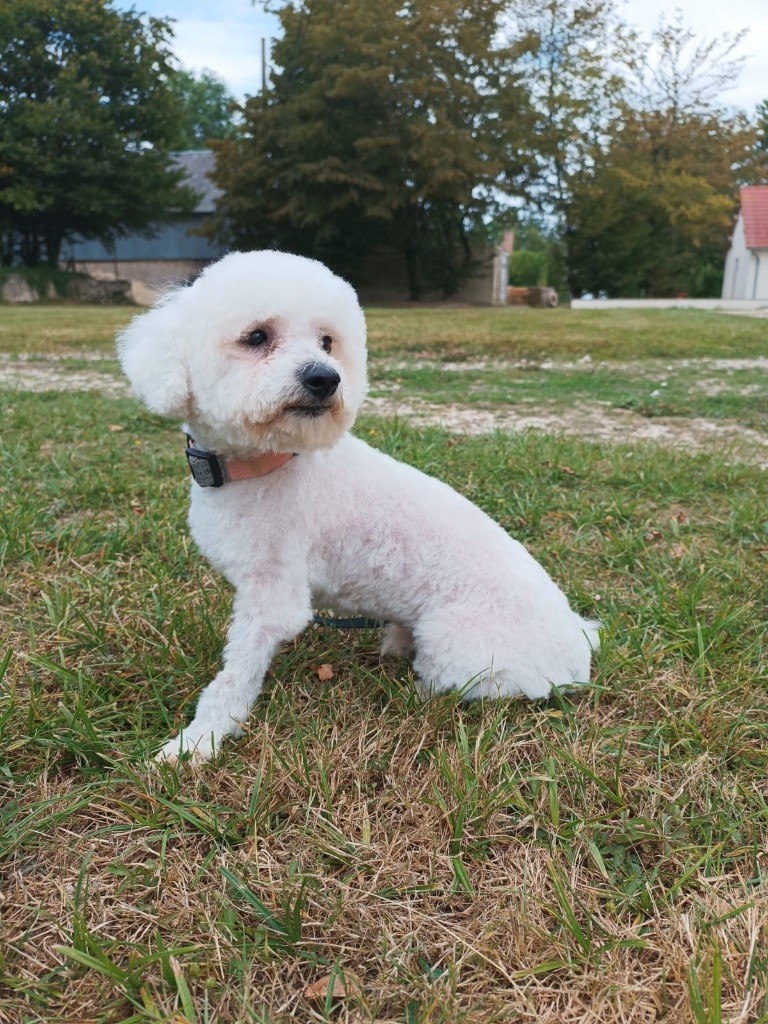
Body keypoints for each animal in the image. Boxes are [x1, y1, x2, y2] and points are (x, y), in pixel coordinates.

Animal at [118, 249, 602, 761]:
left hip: (460, 646)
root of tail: (578, 645)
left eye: (327, 342)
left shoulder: (272, 597)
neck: (266, 464)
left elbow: (234, 677)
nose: (325, 378)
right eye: (257, 336)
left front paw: (197, 743)